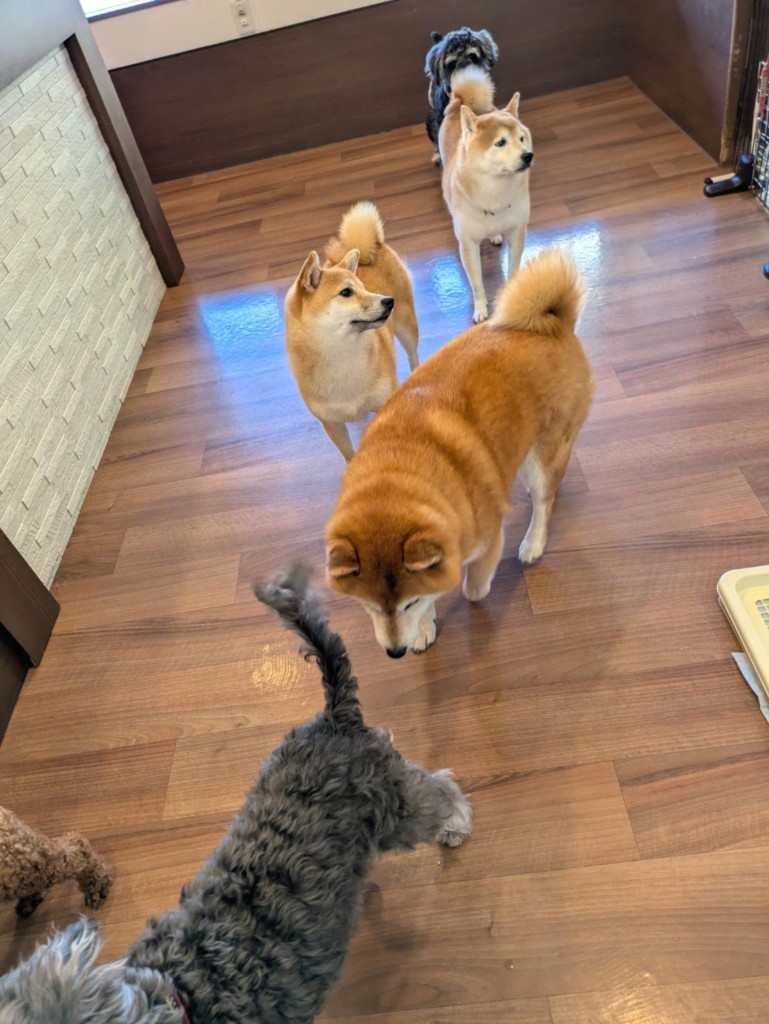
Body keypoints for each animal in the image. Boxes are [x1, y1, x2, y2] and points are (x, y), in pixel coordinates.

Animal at [285, 201, 419, 461]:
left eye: (365, 288)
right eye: (346, 292)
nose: (389, 301)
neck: (341, 355)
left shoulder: (385, 403)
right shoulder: (331, 423)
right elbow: (348, 453)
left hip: (407, 326)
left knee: (413, 356)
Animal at [325, 250, 593, 658]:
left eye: (407, 604)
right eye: (368, 606)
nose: (395, 652)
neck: (401, 467)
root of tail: (554, 321)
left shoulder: (487, 539)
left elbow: (470, 582)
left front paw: (468, 594)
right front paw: (425, 628)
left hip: (542, 455)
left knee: (544, 501)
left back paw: (533, 542)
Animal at [439, 66, 533, 324]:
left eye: (521, 138)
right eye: (500, 143)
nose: (528, 155)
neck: (495, 191)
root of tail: (461, 103)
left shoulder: (517, 231)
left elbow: (513, 268)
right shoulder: (468, 244)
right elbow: (477, 284)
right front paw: (481, 309)